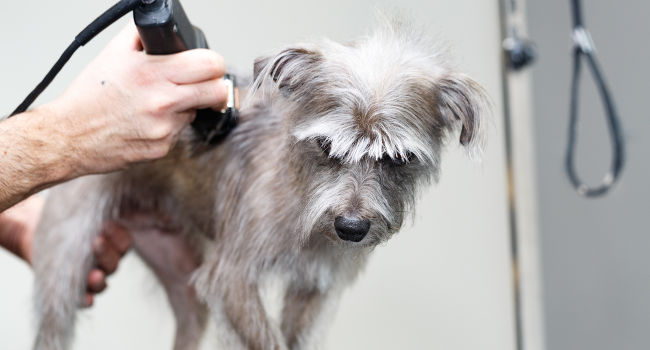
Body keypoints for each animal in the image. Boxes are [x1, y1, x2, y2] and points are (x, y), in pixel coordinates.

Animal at [30, 19, 486, 350]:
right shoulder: (232, 281)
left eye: (398, 159)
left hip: (184, 282)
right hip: (64, 270)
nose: (351, 229)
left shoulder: (313, 289)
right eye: (325, 145)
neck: (302, 203)